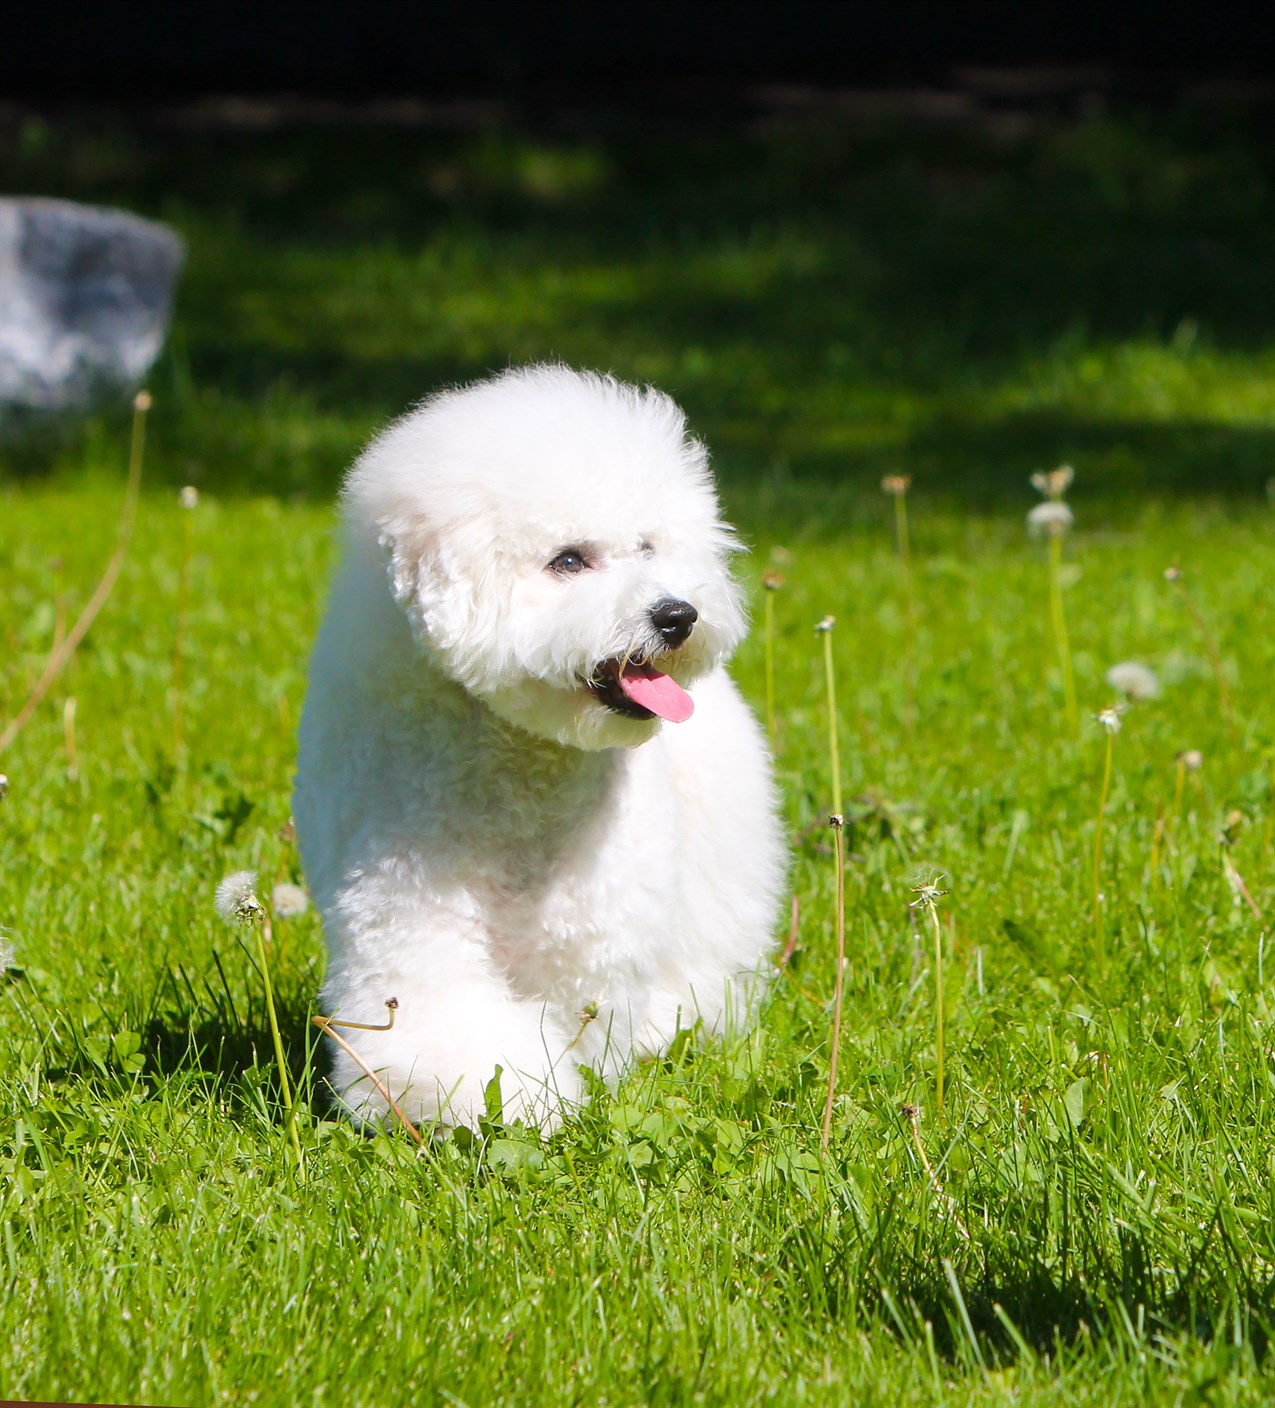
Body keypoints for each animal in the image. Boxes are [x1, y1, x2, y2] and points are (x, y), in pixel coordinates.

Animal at [292, 366, 782, 1132]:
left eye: (647, 547)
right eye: (568, 560)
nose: (677, 615)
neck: (520, 762)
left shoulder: (592, 926)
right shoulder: (403, 912)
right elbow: (439, 1016)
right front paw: (506, 1097)